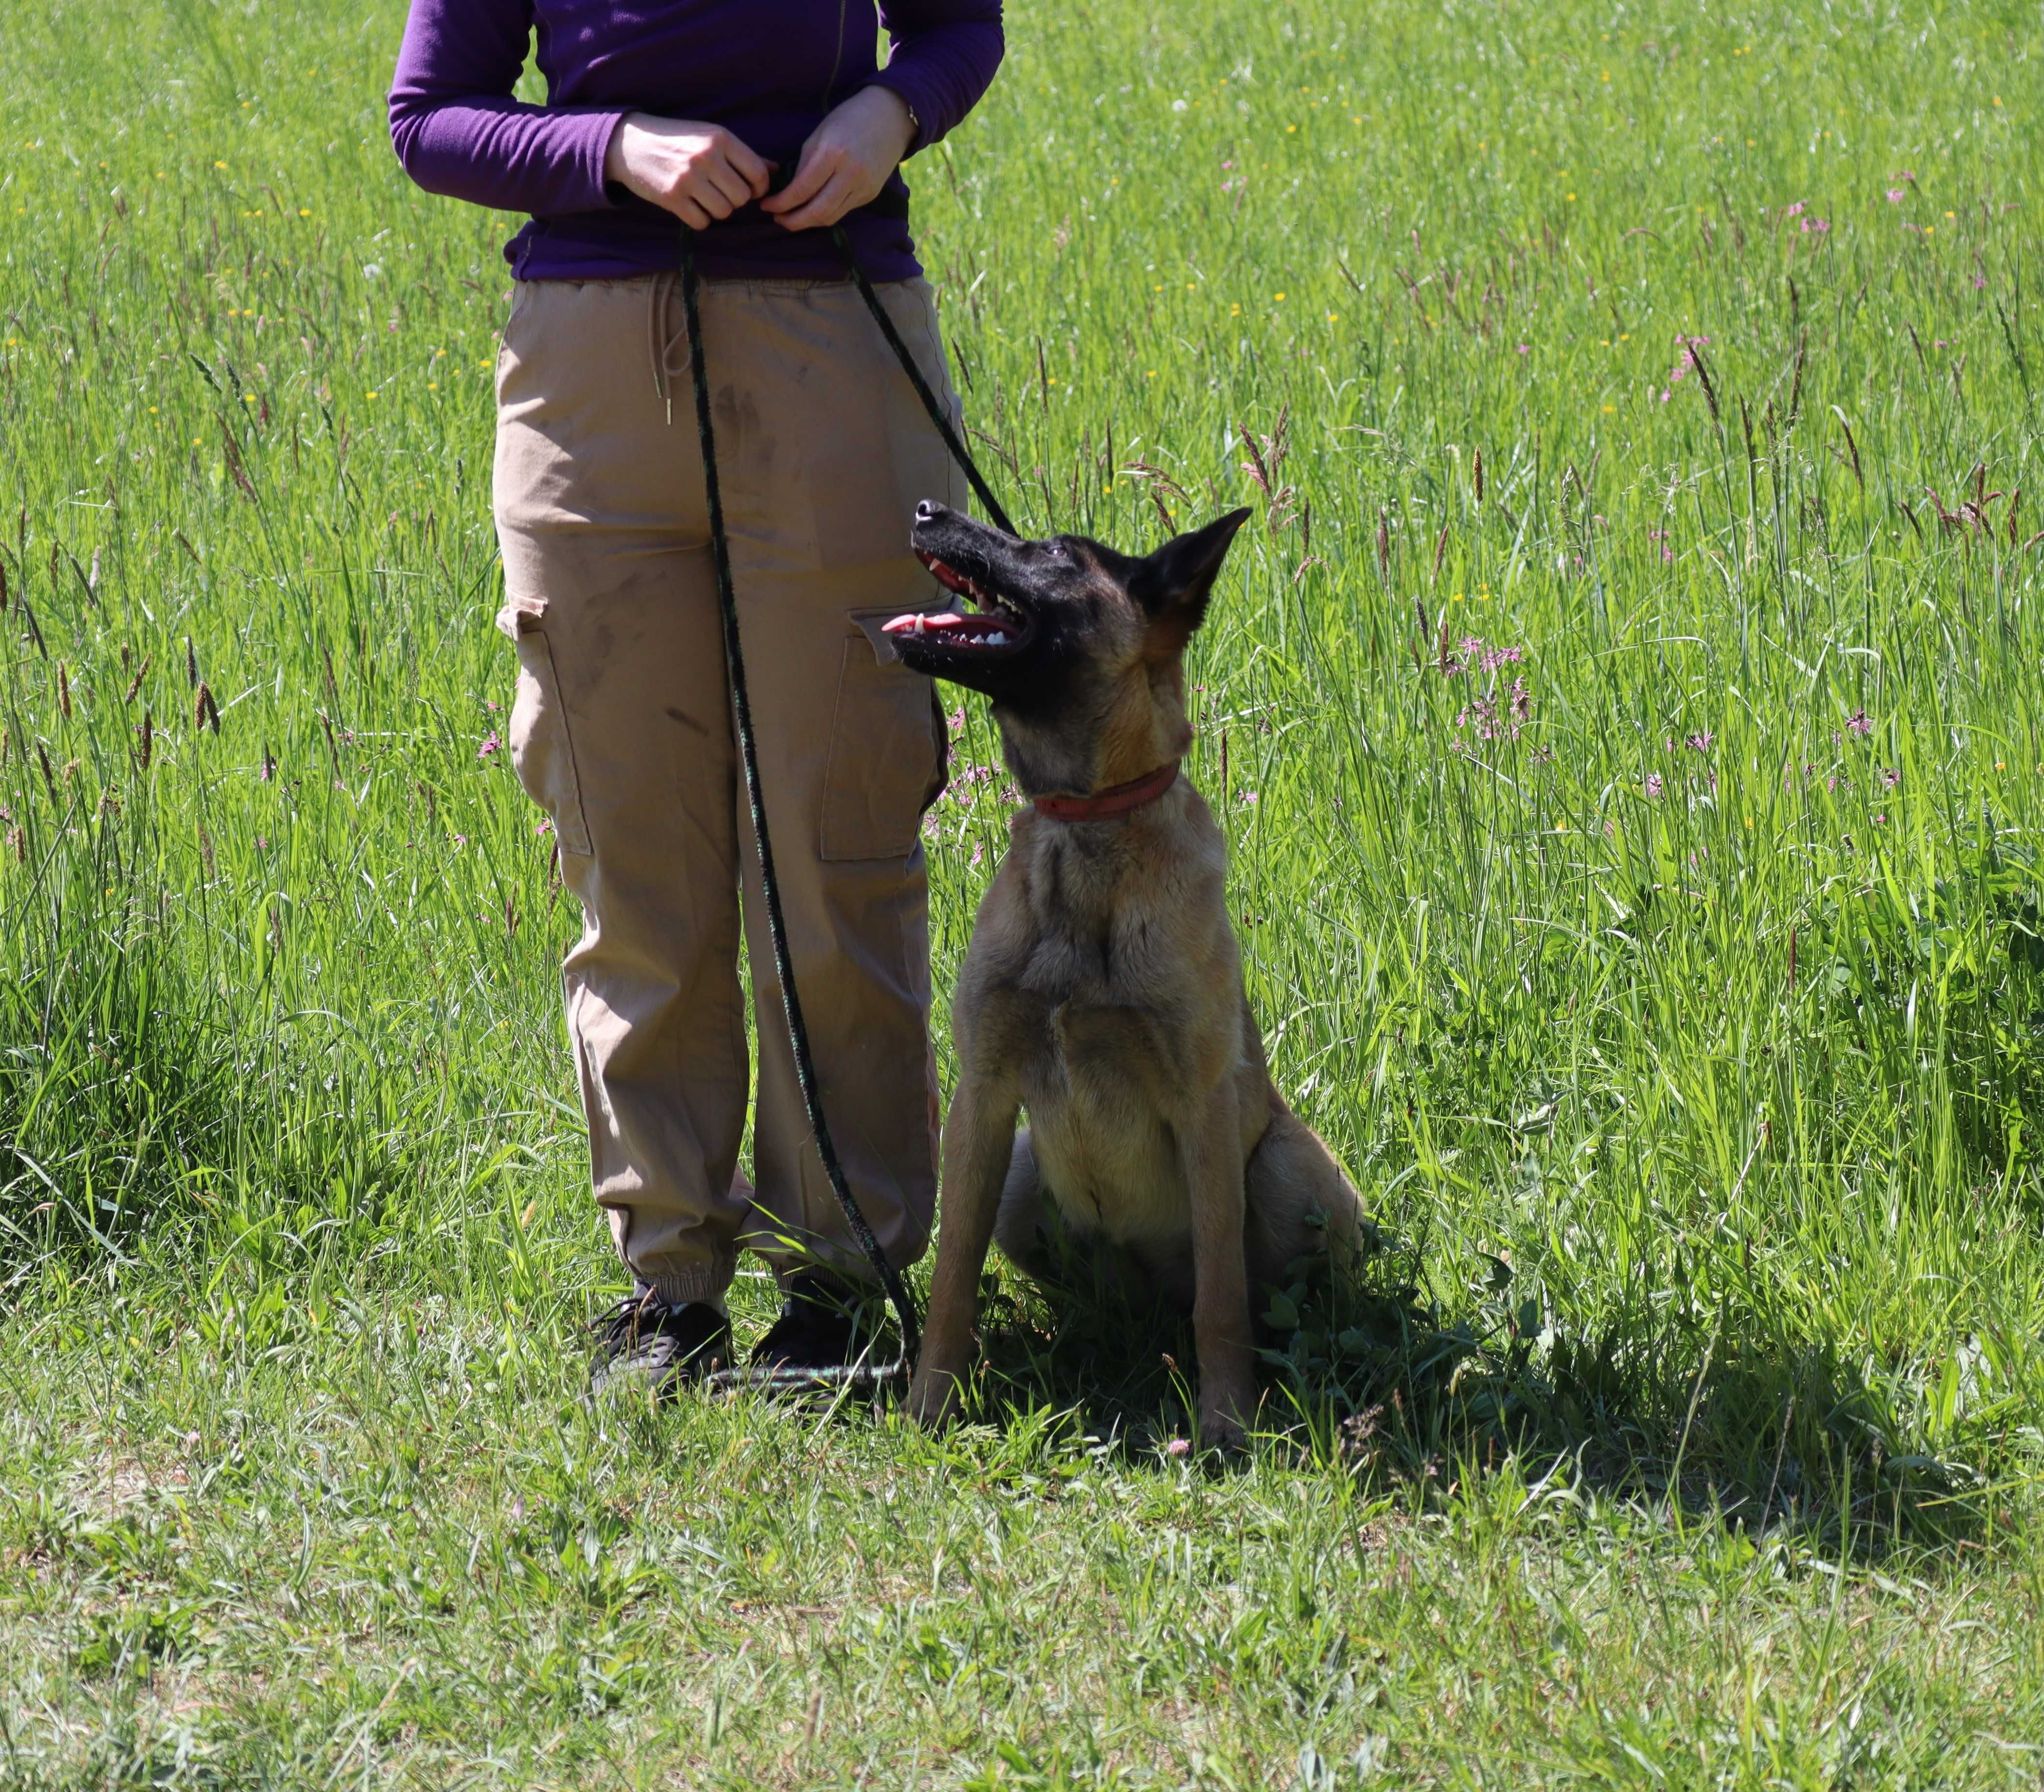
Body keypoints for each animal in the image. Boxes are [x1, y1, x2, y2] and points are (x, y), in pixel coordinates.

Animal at [879, 496, 1357, 1446]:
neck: (1089, 825)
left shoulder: (1204, 1107)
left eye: (1057, 553)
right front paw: (927, 1408)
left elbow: (1222, 1300)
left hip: (1289, 1171)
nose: (926, 506)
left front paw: (1225, 1423)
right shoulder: (983, 1100)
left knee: (1254, 1292)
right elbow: (951, 1280)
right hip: (1023, 1170)